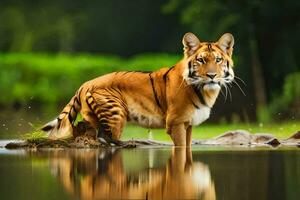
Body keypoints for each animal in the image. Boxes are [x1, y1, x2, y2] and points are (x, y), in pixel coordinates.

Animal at [41, 32, 234, 145]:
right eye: (201, 60)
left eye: (218, 60)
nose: (212, 75)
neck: (206, 90)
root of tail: (85, 83)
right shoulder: (176, 123)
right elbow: (180, 151)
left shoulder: (189, 123)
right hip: (116, 114)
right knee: (104, 139)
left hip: (92, 117)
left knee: (85, 134)